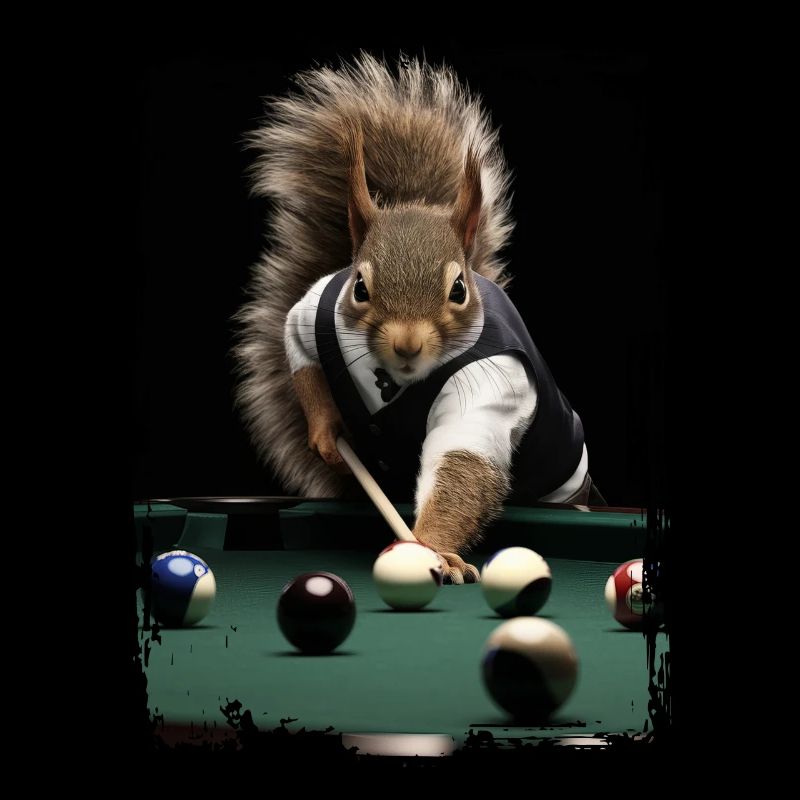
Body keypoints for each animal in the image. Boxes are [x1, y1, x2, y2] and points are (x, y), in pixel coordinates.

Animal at [235, 54, 601, 584]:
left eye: (458, 290)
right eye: (360, 288)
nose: (407, 344)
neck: (393, 380)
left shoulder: (490, 385)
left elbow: (464, 460)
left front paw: (437, 548)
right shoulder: (320, 307)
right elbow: (297, 339)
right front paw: (326, 432)